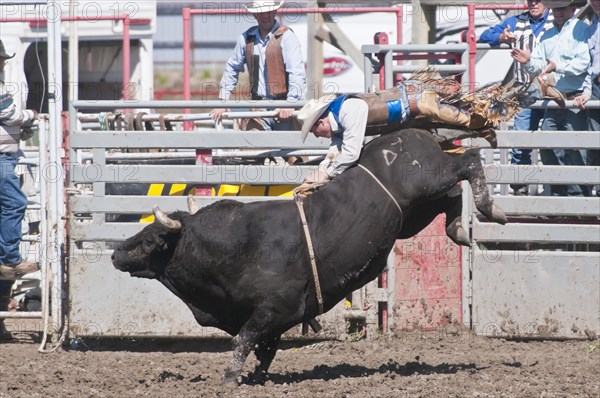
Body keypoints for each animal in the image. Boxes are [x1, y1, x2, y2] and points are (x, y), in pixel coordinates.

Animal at [110, 129, 504, 384]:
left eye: (150, 240)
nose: (116, 253)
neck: (230, 246)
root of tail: (416, 134)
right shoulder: (277, 318)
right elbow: (264, 348)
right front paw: (257, 377)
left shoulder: (274, 307)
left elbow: (243, 340)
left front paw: (230, 378)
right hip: (414, 213)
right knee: (450, 197)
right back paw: (459, 228)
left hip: (427, 180)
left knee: (468, 162)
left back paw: (490, 207)